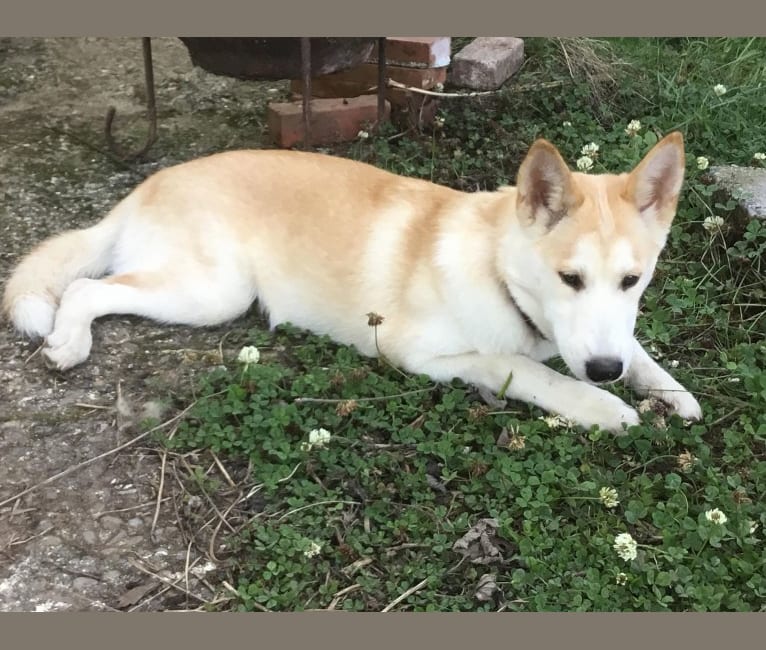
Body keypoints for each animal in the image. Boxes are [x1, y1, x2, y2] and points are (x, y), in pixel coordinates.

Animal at [3, 133, 704, 430]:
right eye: (569, 278)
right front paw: (605, 407)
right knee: (86, 289)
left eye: (632, 280)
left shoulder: (608, 334)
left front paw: (668, 390)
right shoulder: (415, 351)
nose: (605, 372)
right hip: (213, 294)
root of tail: (145, 187)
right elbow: (531, 370)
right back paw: (69, 341)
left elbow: (635, 348)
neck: (496, 268)